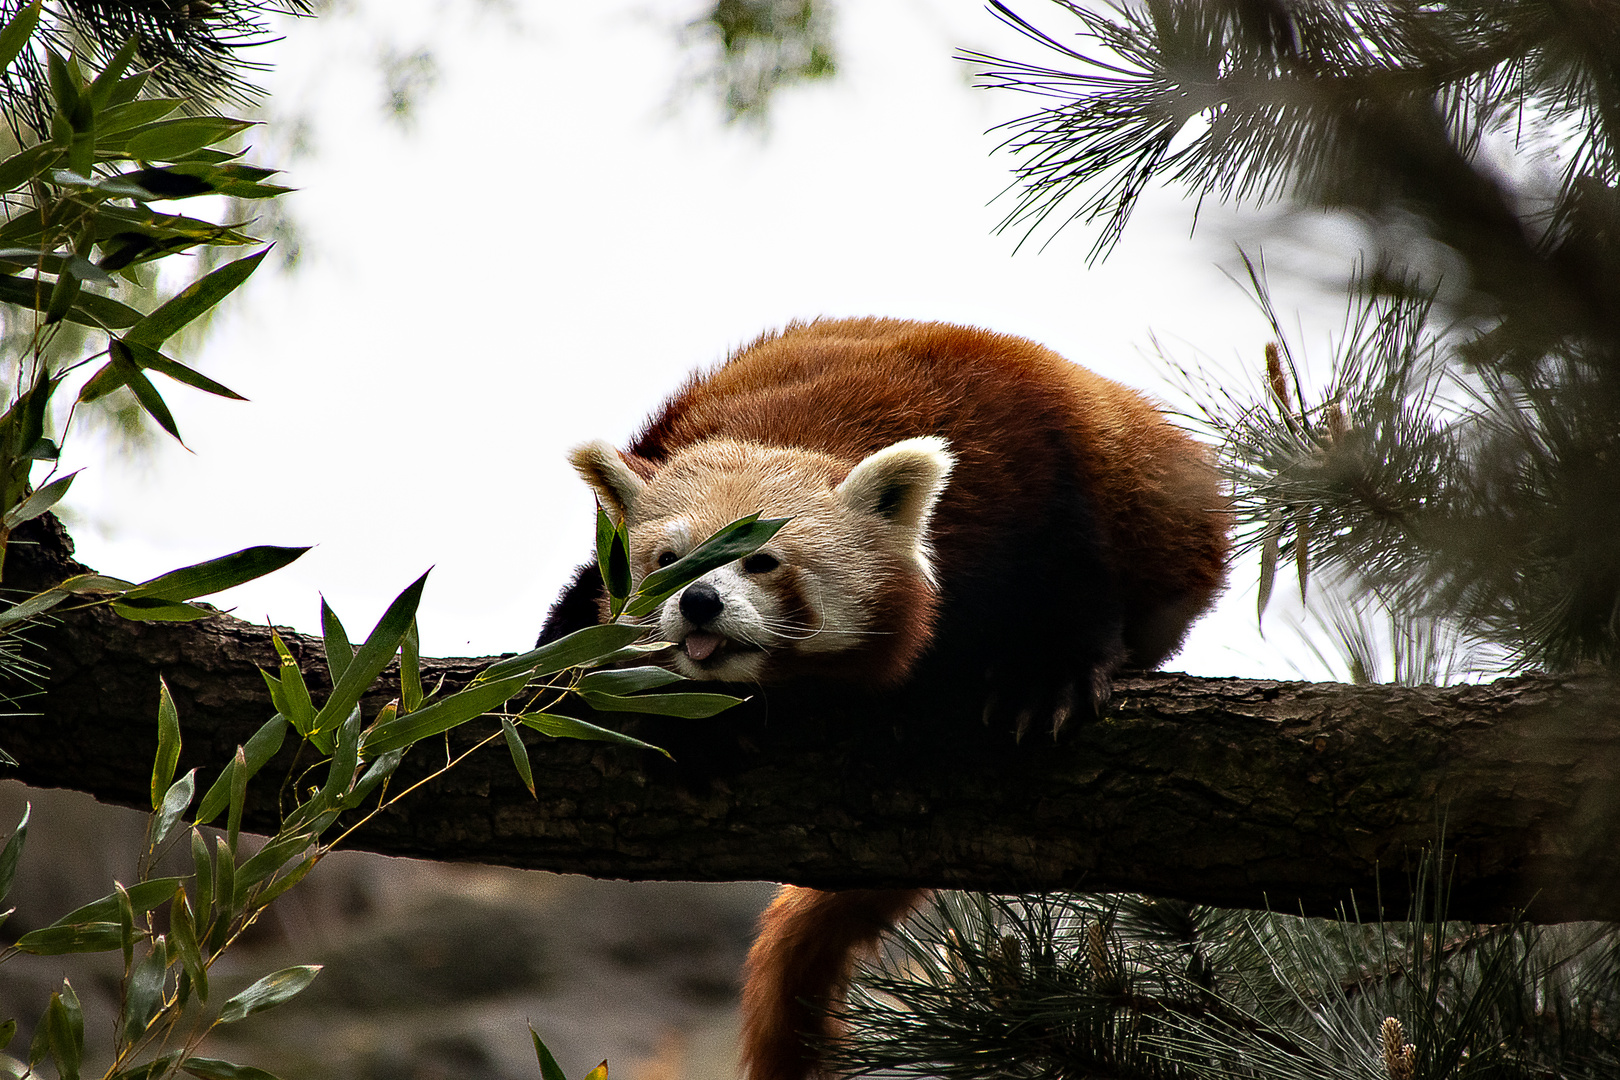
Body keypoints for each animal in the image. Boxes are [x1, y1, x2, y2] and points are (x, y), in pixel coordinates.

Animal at [541, 317, 1224, 1080]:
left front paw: (1046, 677)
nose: (698, 602)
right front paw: (671, 718)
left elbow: (1073, 573)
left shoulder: (1033, 462)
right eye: (670, 561)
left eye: (761, 560)